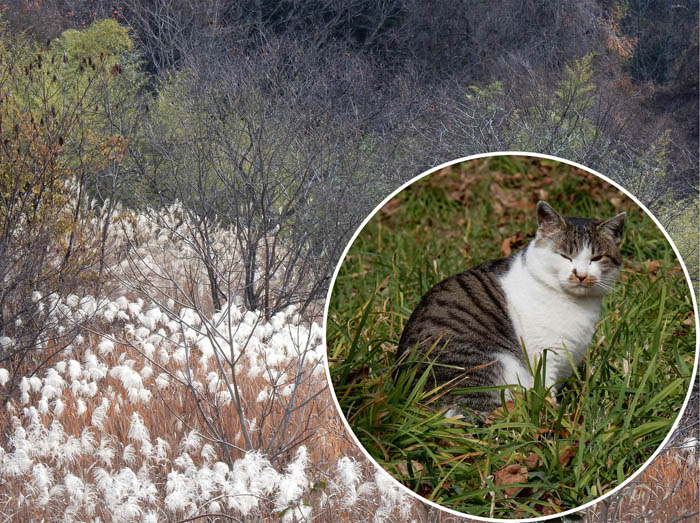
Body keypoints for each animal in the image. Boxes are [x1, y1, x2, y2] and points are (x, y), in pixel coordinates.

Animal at [396, 201, 628, 414]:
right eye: (565, 256)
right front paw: (553, 414)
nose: (581, 275)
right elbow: (546, 392)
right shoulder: (544, 354)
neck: (576, 303)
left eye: (596, 258)